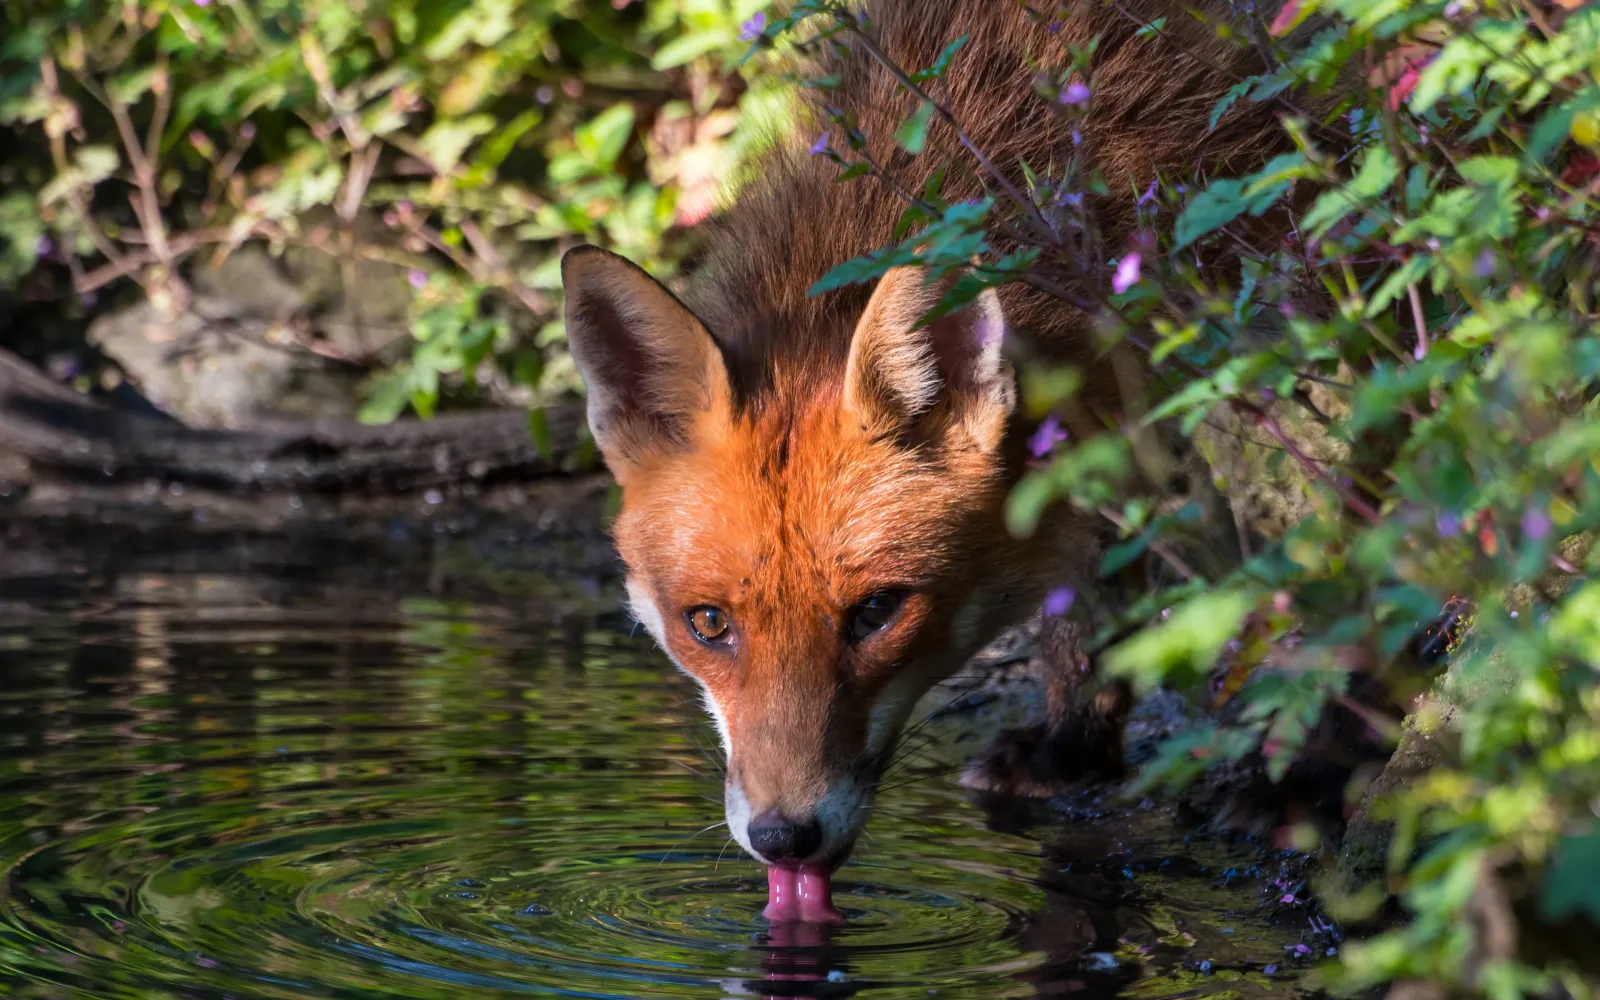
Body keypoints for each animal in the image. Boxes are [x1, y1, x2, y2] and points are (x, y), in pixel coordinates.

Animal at [560, 0, 1313, 921]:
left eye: (877, 611)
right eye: (707, 625)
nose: (784, 838)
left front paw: (1311, 777)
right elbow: (1099, 577)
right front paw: (1074, 746)